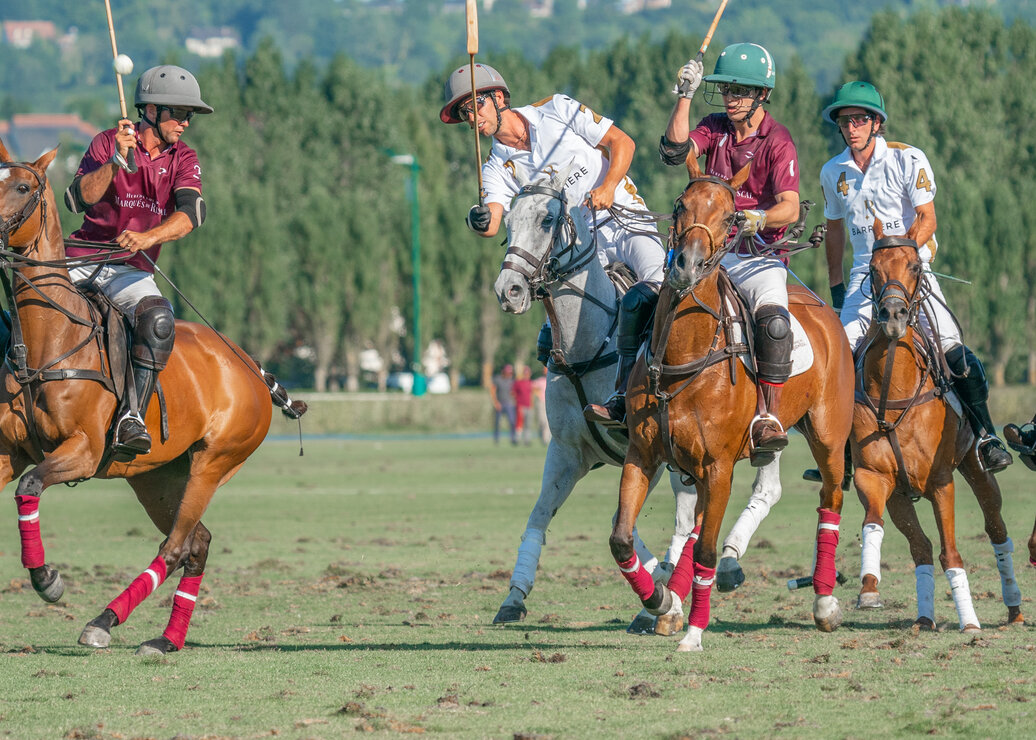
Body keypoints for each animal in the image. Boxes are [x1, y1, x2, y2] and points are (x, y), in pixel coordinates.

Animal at [0, 140, 302, 655]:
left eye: (21, 187)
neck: (46, 342)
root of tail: (248, 362)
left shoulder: (82, 451)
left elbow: (30, 486)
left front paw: (48, 581)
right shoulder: (8, 451)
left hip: (213, 462)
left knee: (178, 545)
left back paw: (106, 623)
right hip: (157, 476)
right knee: (198, 543)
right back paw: (164, 638)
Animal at [488, 168, 779, 630]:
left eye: (548, 220)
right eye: (509, 223)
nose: (509, 290)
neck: (586, 349)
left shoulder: (651, 453)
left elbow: (636, 521)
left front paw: (662, 595)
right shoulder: (567, 451)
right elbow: (540, 516)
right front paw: (514, 596)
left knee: (699, 513)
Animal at [609, 158, 853, 646]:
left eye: (731, 217)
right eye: (680, 205)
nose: (686, 266)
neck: (683, 355)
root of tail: (820, 306)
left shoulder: (719, 466)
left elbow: (704, 549)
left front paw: (693, 633)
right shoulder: (643, 454)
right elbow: (623, 538)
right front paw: (659, 601)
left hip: (829, 435)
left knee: (830, 499)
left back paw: (824, 603)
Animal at [853, 220, 1023, 630]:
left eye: (915, 266)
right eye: (873, 268)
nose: (893, 314)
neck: (893, 392)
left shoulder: (941, 481)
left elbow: (951, 552)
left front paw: (970, 622)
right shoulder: (879, 480)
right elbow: (877, 526)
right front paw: (869, 587)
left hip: (975, 466)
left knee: (997, 529)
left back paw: (1014, 608)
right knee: (921, 548)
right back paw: (925, 617)